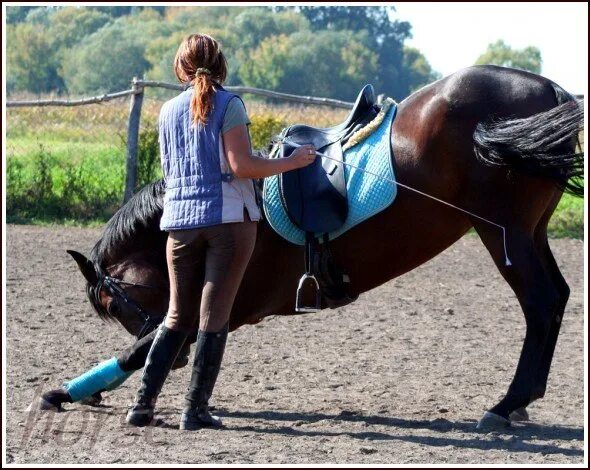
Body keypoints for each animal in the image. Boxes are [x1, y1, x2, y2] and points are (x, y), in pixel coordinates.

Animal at [48, 66, 584, 430]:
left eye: (115, 303)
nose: (175, 363)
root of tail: (549, 91)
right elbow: (154, 347)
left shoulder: (228, 302)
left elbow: (142, 349)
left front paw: (67, 392)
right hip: (529, 232)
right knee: (555, 298)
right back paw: (521, 401)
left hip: (504, 233)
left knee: (540, 303)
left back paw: (505, 406)